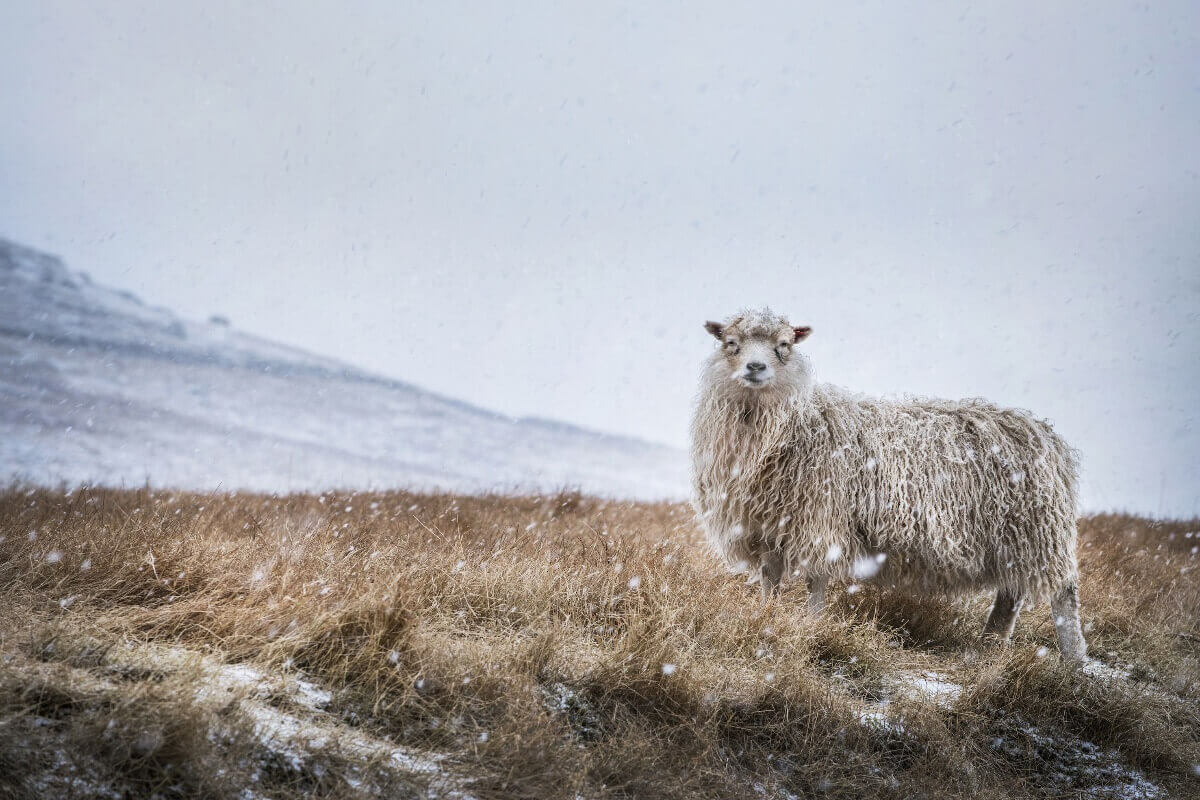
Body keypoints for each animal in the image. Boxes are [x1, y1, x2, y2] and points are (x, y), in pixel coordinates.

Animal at [686, 307, 1089, 662]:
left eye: (784, 345)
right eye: (731, 343)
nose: (756, 367)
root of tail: (1048, 435)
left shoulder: (820, 521)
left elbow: (816, 581)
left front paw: (812, 625)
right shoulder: (767, 525)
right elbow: (770, 579)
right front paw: (766, 617)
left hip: (1038, 530)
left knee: (1063, 594)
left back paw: (1073, 660)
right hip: (1013, 539)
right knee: (1011, 595)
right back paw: (988, 648)